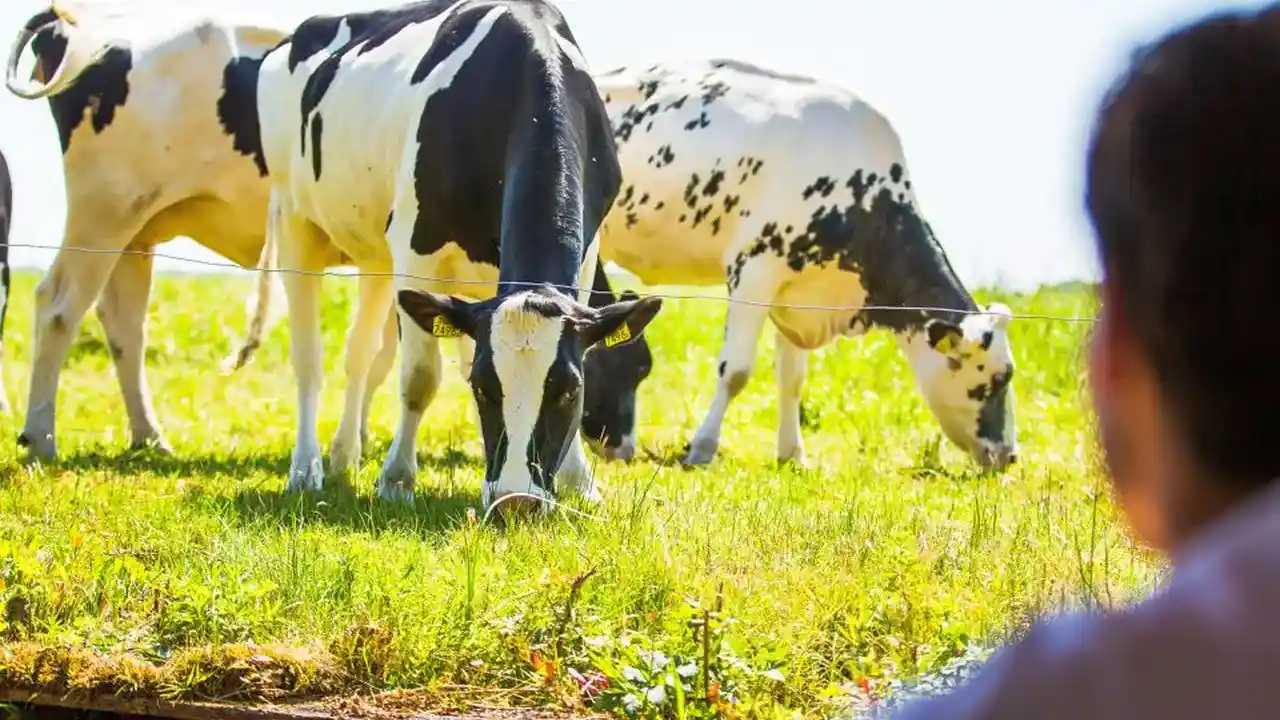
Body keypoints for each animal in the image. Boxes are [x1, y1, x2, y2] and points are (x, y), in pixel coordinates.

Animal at [3, 0, 290, 456]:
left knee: (124, 323)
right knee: (58, 307)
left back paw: (149, 437)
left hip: (134, 224)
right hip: (104, 212)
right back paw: (41, 439)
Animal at [256, 0, 665, 512]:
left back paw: (343, 455)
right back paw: (305, 467)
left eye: (569, 390)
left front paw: (579, 482)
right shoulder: (417, 245)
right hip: (293, 218)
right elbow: (418, 376)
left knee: (359, 353)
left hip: (376, 254)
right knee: (308, 357)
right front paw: (397, 480)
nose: (516, 500)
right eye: (482, 386)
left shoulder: (585, 256)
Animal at [588, 58, 1018, 468]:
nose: (1010, 455)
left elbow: (792, 378)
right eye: (995, 380)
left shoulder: (797, 292)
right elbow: (735, 371)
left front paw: (792, 454)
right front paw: (703, 448)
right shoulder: (754, 270)